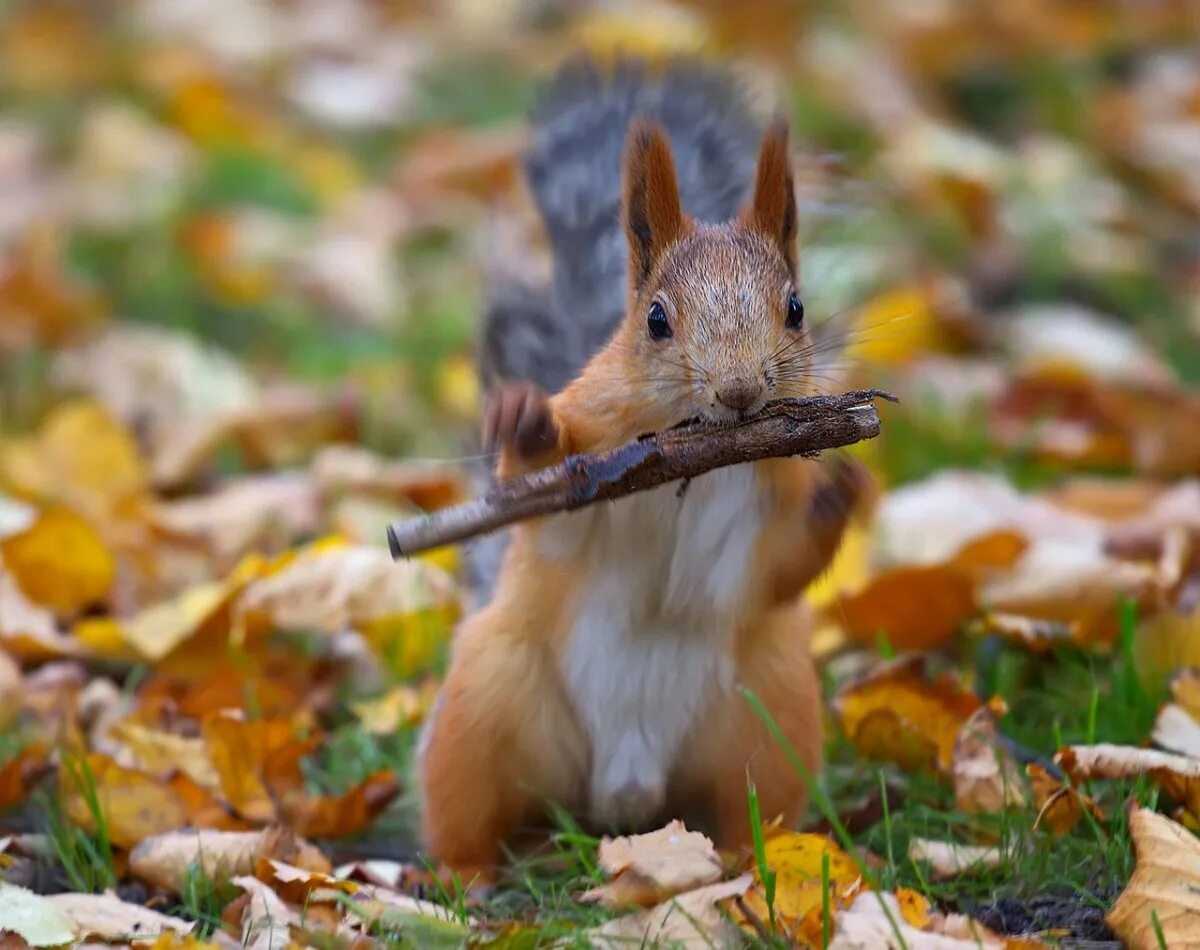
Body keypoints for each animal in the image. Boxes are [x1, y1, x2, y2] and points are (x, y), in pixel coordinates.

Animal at [417, 57, 868, 882]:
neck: (697, 460)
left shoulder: (765, 500)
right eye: (655, 319)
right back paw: (462, 874)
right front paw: (525, 422)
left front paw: (840, 495)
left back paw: (748, 860)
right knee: (464, 814)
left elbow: (779, 569)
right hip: (485, 704)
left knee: (752, 806)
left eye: (796, 309)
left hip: (770, 712)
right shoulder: (593, 446)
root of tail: (627, 791)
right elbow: (540, 504)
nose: (739, 391)